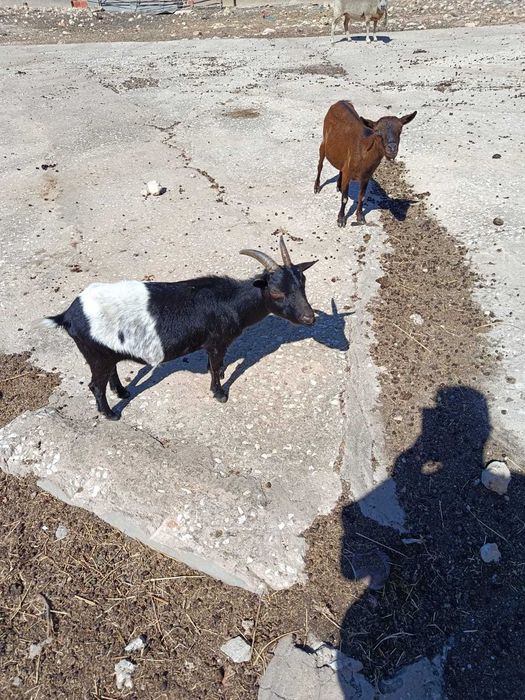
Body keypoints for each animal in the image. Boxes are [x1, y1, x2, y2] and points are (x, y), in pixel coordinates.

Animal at [42, 238, 317, 420]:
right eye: (276, 292)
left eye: (303, 283)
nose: (309, 318)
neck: (230, 301)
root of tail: (68, 316)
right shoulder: (217, 341)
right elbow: (215, 368)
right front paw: (219, 393)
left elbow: (216, 365)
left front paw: (219, 374)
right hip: (97, 355)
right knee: (95, 385)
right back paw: (111, 414)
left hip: (107, 351)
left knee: (111, 373)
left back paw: (123, 393)